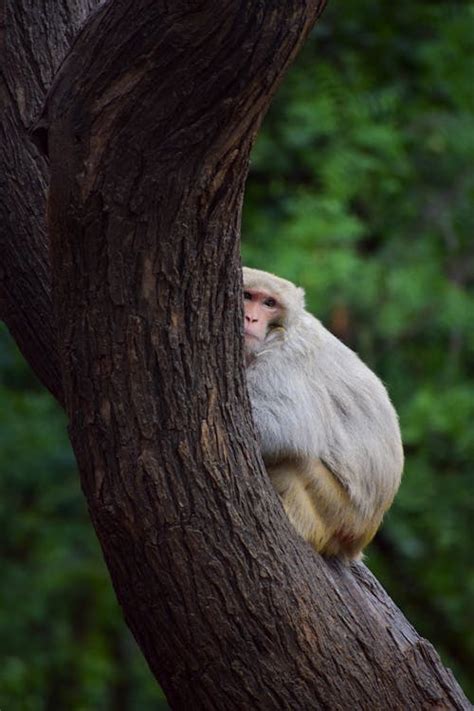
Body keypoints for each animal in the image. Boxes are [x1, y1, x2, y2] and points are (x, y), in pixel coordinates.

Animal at [243, 266, 404, 560]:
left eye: (269, 303)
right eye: (247, 296)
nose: (251, 317)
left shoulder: (285, 355)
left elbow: (288, 427)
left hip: (341, 514)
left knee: (296, 461)